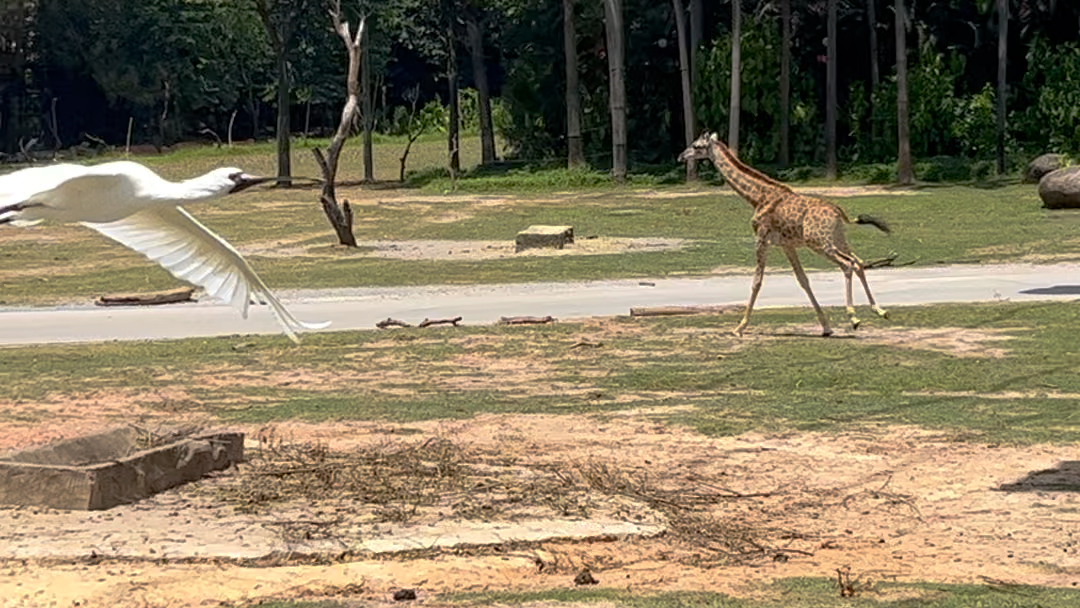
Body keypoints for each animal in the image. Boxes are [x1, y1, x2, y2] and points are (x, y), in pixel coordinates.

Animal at [678, 132, 889, 336]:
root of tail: (839, 212)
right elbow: (803, 280)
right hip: (837, 239)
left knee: (847, 264)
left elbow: (757, 281)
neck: (756, 197)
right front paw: (826, 327)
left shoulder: (762, 237)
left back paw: (853, 317)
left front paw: (740, 328)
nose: (681, 156)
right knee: (858, 262)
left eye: (696, 146)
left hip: (820, 243)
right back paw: (880, 311)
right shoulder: (786, 245)